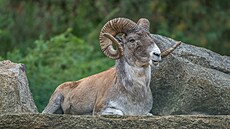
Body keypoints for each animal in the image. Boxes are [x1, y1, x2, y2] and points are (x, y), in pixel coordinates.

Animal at [42, 17, 181, 115]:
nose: (157, 54)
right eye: (131, 40)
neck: (134, 93)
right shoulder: (102, 110)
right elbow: (121, 113)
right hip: (54, 103)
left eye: (150, 37)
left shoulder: (146, 113)